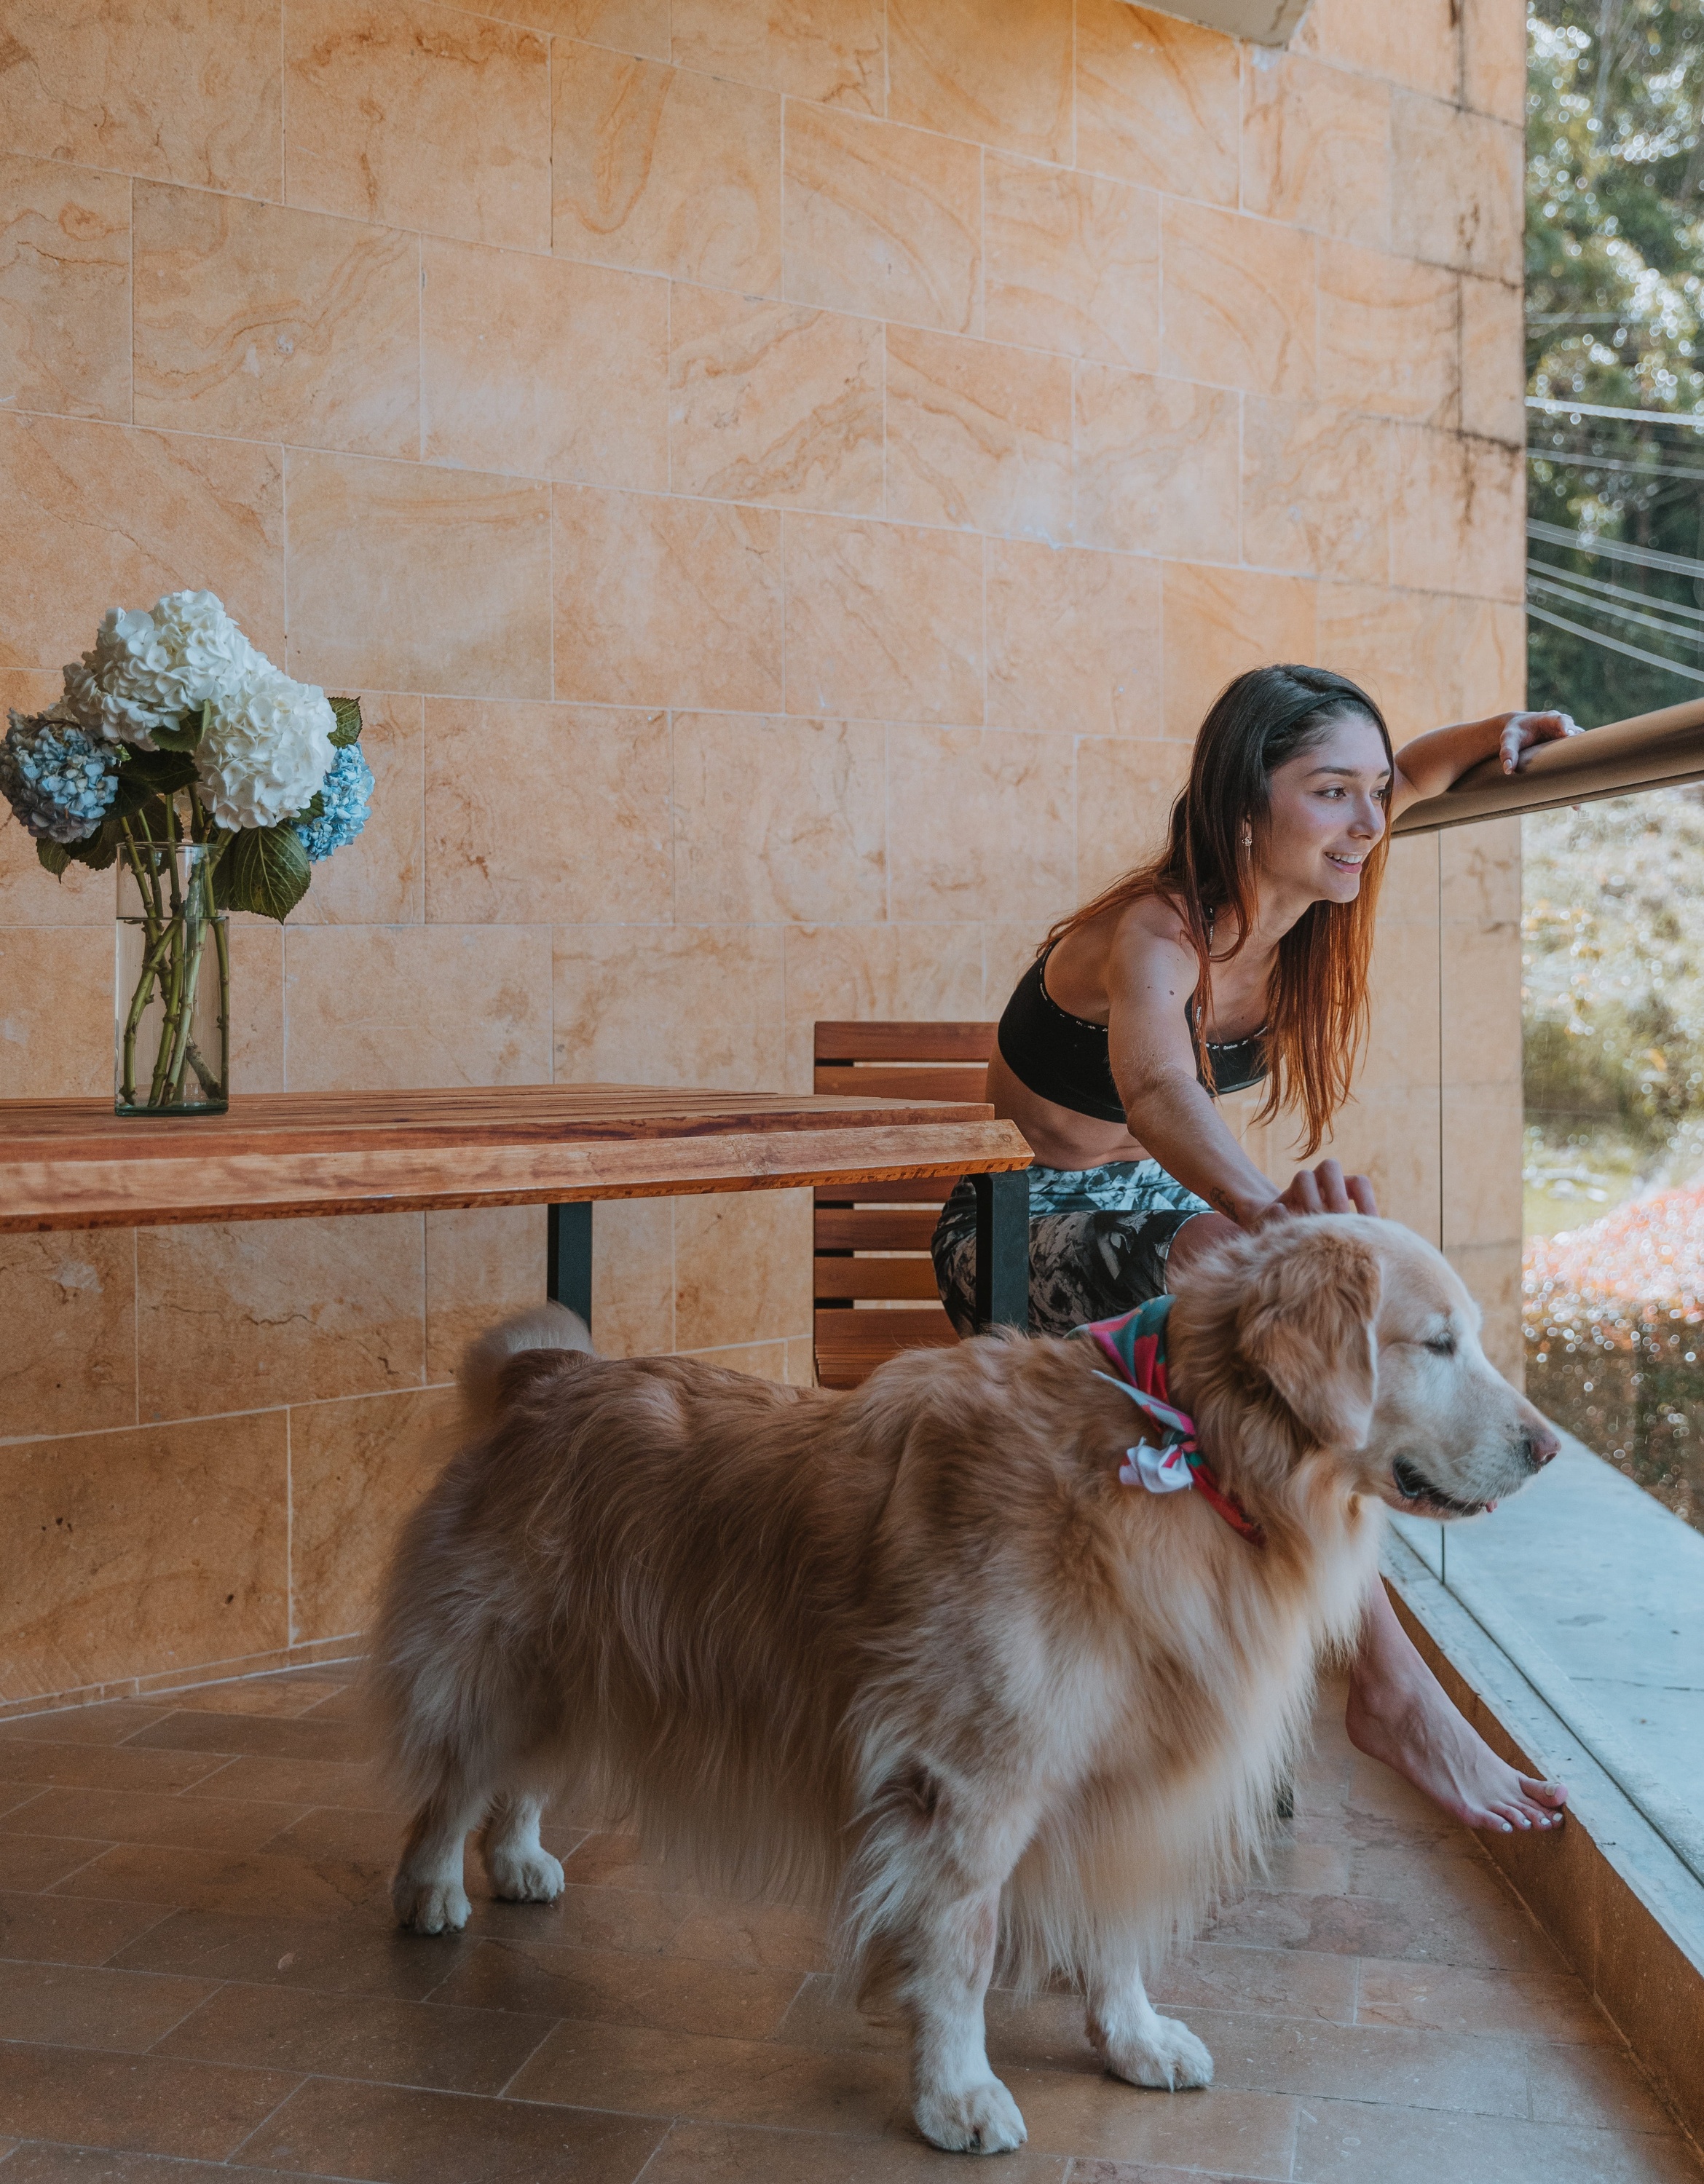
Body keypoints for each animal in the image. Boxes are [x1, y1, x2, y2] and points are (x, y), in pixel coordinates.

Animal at [369, 1223, 1555, 2158]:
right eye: (1438, 1343)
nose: (1547, 1449)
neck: (1193, 1450)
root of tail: (546, 1376)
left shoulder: (1122, 1783)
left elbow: (1114, 1932)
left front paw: (1131, 2038)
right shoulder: (971, 1786)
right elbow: (960, 1952)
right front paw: (957, 2094)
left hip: (580, 1677)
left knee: (520, 1779)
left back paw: (518, 1857)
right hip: (515, 1667)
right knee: (454, 1778)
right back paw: (430, 1888)